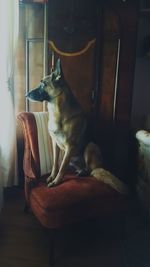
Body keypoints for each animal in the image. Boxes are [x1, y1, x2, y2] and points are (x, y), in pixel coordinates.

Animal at [26, 59, 102, 187]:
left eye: (43, 84)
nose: (26, 94)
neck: (58, 112)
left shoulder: (69, 147)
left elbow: (62, 167)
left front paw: (56, 181)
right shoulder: (55, 144)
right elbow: (55, 163)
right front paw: (52, 177)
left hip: (90, 146)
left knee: (91, 169)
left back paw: (83, 172)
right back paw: (80, 171)